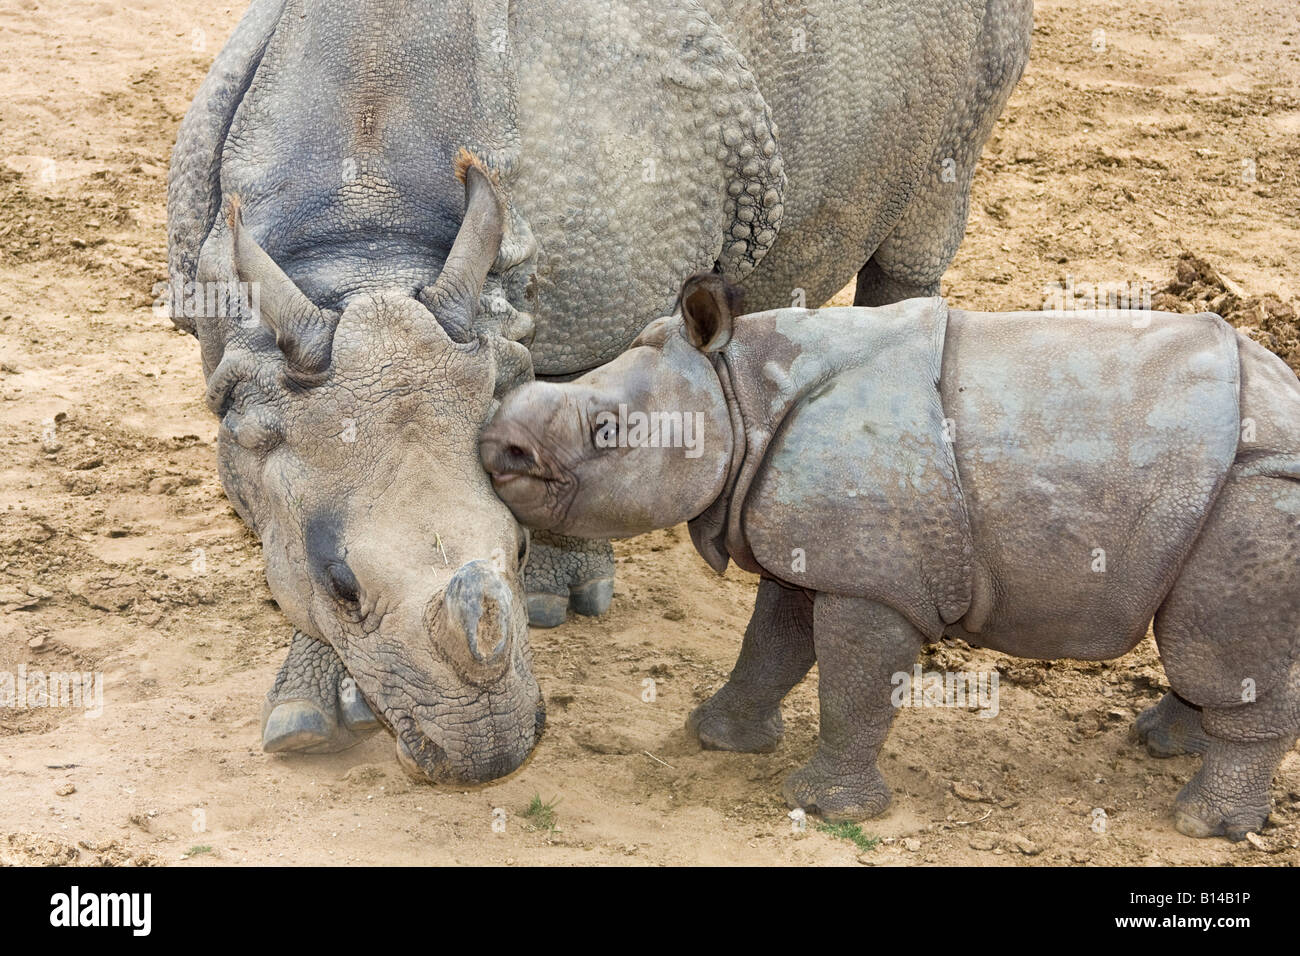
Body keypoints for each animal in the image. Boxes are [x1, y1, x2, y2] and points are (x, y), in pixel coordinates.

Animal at [166, 0, 1031, 781]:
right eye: (340, 586)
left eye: (514, 550)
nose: (490, 759)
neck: (366, 239)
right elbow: (290, 525)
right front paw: (305, 720)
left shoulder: (614, 279)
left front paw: (557, 595)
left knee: (923, 218)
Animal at [481, 274, 1300, 840]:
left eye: (607, 430)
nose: (496, 446)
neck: (740, 391)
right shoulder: (819, 550)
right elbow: (770, 646)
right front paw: (715, 737)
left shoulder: (875, 580)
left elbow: (854, 686)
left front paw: (824, 809)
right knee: (1201, 640)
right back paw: (1162, 744)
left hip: (1258, 488)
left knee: (1219, 641)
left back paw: (1203, 822)